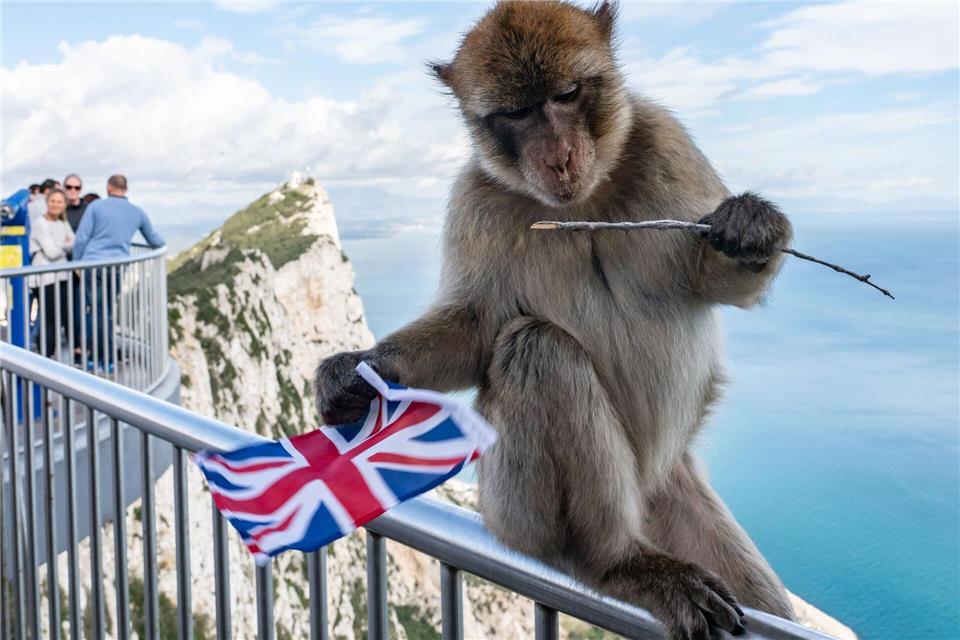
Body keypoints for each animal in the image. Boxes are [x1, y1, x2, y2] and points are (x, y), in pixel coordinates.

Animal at [314, 2, 797, 638]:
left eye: (566, 94)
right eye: (518, 113)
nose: (559, 157)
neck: (583, 203)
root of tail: (646, 486)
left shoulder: (665, 141)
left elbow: (714, 281)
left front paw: (752, 227)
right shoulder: (475, 199)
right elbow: (477, 329)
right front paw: (355, 371)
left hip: (670, 497)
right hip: (508, 504)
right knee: (536, 349)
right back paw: (616, 562)